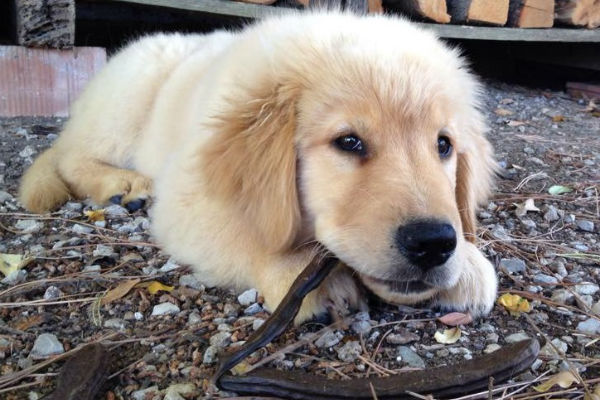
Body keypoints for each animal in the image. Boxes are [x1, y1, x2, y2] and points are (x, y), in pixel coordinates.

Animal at [18, 11, 496, 322]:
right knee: (73, 155)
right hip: (127, 99)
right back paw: (123, 182)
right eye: (348, 142)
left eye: (444, 145)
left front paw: (470, 264)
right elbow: (248, 235)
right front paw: (303, 275)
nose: (433, 243)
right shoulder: (187, 198)